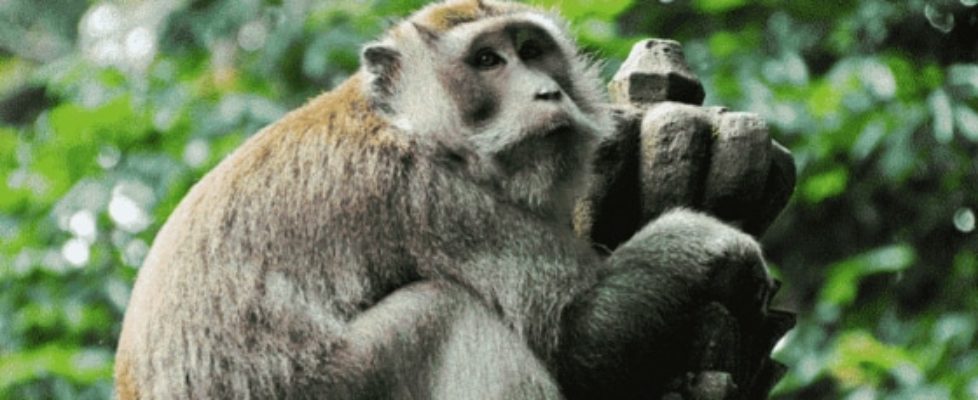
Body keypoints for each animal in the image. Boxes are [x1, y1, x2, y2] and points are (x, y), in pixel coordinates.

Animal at [114, 1, 774, 399]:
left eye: (531, 51)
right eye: (486, 60)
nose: (547, 92)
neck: (408, 121)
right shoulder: (436, 199)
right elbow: (578, 338)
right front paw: (705, 239)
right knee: (445, 312)